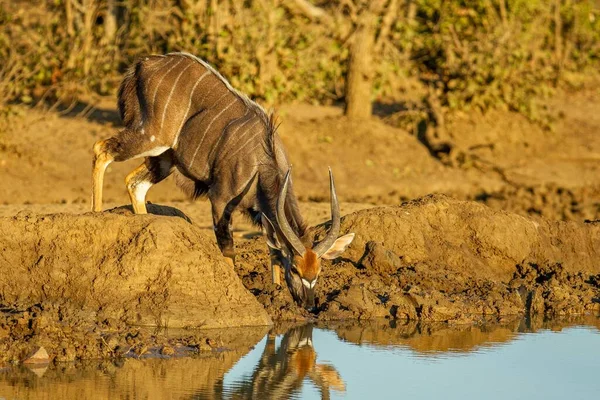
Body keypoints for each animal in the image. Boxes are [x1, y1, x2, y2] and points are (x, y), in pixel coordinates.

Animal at [91, 52, 354, 310]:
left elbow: (273, 252)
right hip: (151, 137)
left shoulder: (262, 214)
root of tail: (143, 64)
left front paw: (276, 292)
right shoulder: (220, 199)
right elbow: (228, 250)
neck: (260, 161)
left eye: (318, 271)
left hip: (165, 157)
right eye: (296, 269)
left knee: (135, 182)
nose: (309, 305)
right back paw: (95, 215)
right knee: (101, 149)